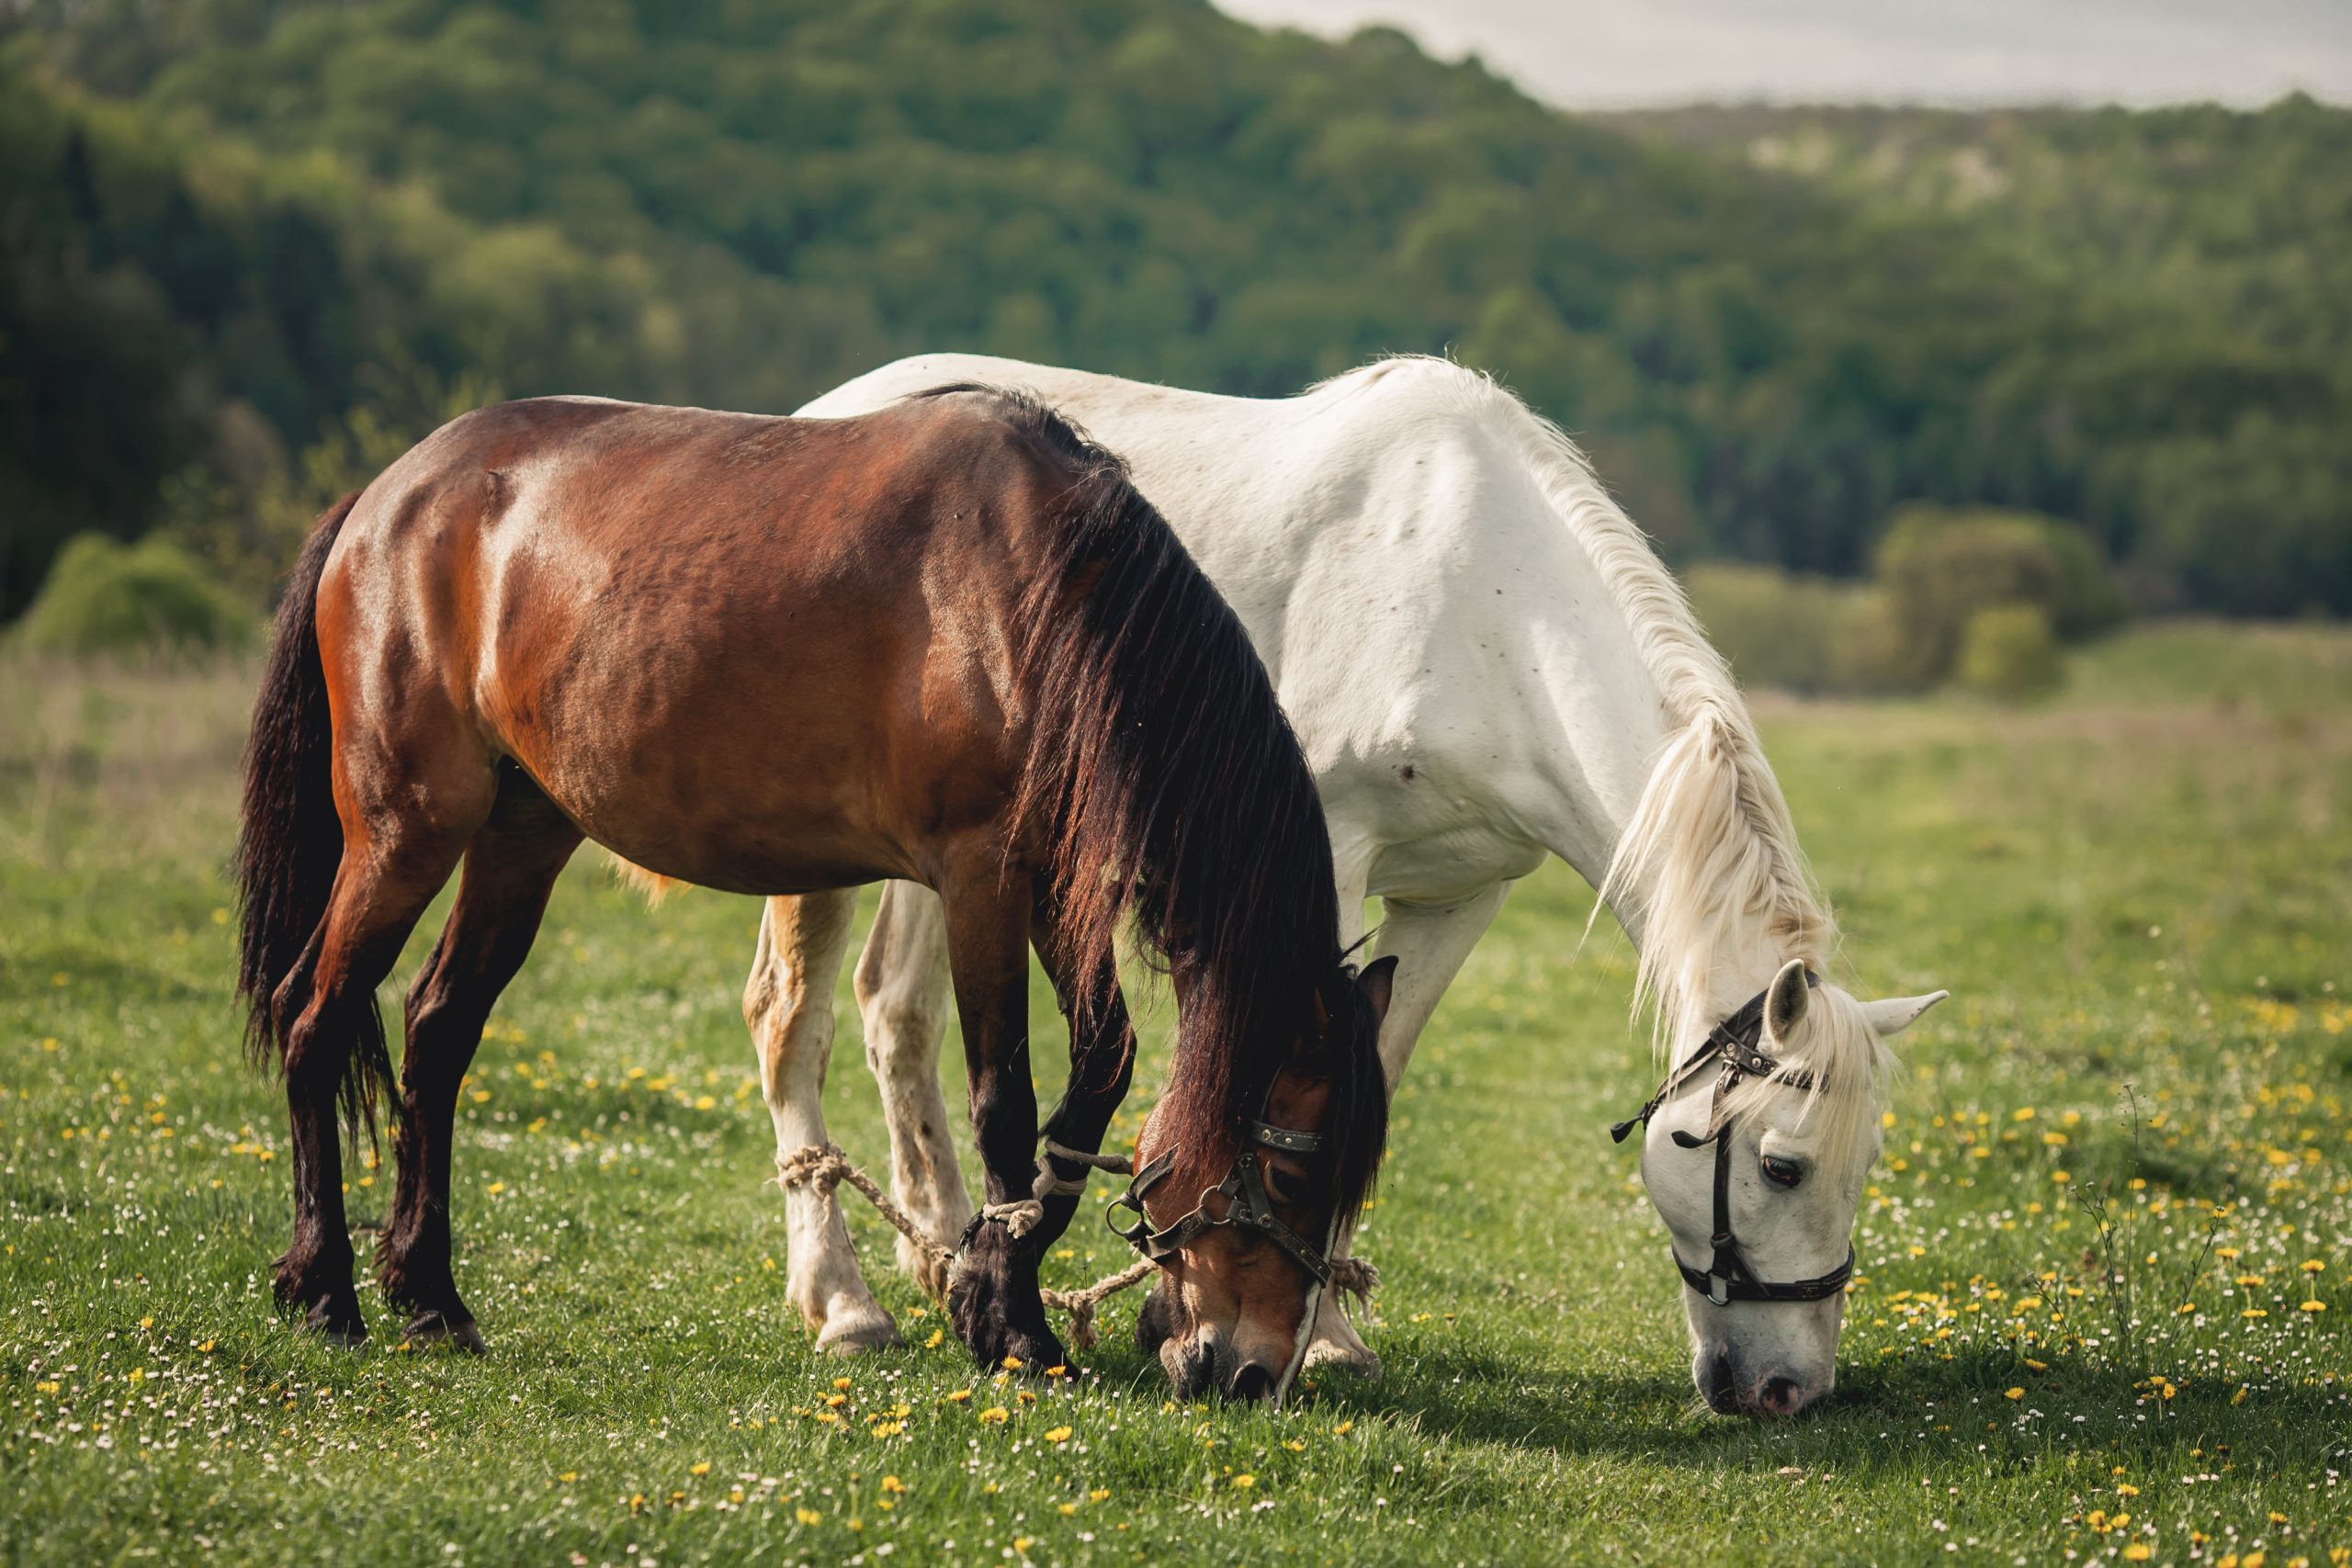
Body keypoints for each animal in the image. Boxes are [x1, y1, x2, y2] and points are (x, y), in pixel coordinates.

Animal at [229, 392, 1383, 1401]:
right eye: (1288, 1178)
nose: (1251, 1375)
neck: (1044, 600)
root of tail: (386, 498)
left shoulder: (1056, 885)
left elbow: (1097, 1073)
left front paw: (982, 1279)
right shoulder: (980, 879)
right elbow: (1004, 1100)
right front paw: (1011, 1323)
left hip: (522, 836)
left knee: (436, 1033)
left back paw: (430, 1297)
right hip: (405, 832)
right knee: (315, 1018)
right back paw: (326, 1290)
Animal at [733, 350, 1947, 1419]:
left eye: (1864, 1164)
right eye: (1781, 1168)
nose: (1788, 1391)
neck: (1488, 610)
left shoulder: (1459, 898)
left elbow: (1377, 1073)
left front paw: (1322, 1326)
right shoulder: (1326, 868)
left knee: (897, 1013)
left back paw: (947, 1253)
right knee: (795, 1021)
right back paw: (845, 1303)